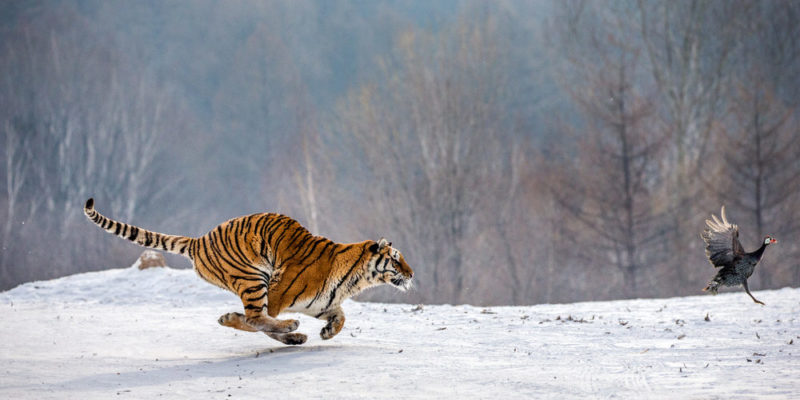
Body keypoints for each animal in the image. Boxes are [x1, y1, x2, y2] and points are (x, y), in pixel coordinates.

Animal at [83, 198, 412, 346]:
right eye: (397, 260)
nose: (411, 274)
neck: (354, 280)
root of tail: (199, 239)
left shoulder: (320, 304)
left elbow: (341, 317)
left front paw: (327, 332)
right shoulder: (278, 295)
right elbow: (255, 322)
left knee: (257, 319)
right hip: (254, 277)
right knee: (255, 317)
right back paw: (289, 328)